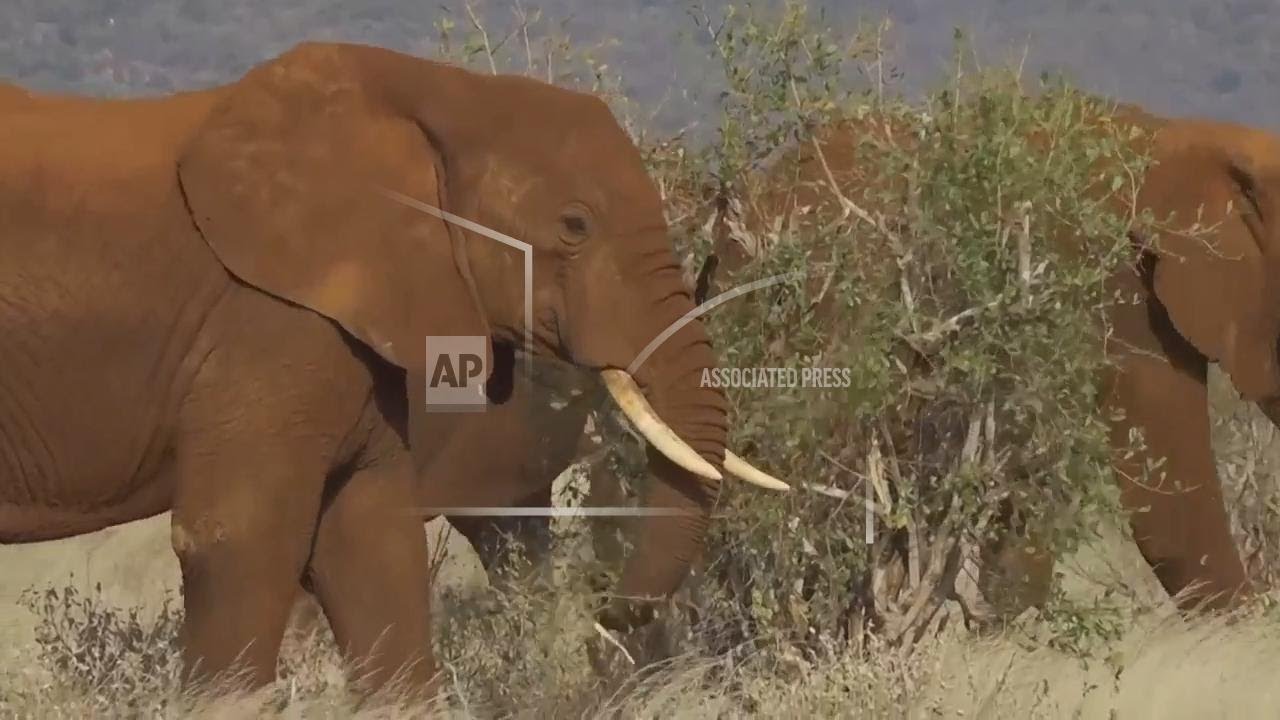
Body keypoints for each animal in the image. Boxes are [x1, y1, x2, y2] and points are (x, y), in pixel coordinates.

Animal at [0, 41, 788, 694]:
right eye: (575, 226)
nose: (613, 607)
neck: (436, 96)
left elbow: (369, 543)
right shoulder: (267, 319)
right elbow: (238, 538)